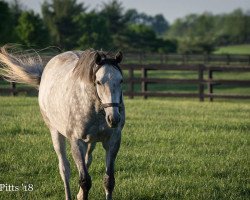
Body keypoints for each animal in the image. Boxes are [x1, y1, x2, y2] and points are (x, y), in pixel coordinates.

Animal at [0, 46, 125, 199]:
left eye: (121, 81)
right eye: (99, 82)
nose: (114, 118)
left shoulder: (112, 141)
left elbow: (108, 181)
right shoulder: (77, 142)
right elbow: (85, 181)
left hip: (91, 142)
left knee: (87, 160)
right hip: (55, 133)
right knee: (64, 168)